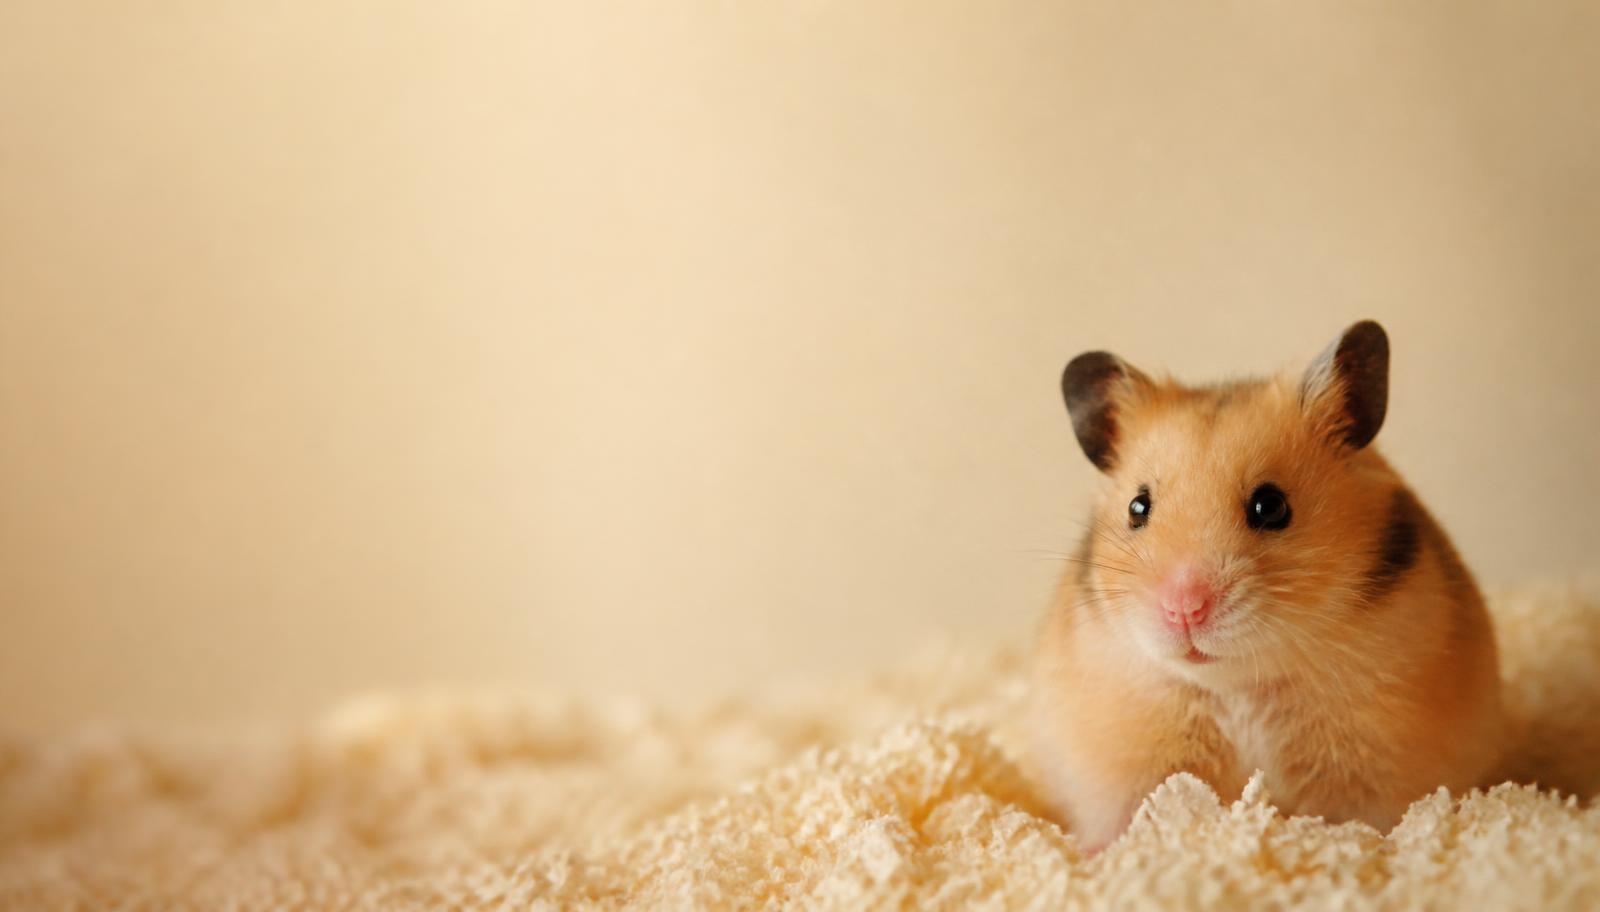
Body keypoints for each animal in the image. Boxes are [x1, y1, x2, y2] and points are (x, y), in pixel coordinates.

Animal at [1030, 320, 1503, 852]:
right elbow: (1125, 817)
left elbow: (1367, 820)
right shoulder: (1124, 764)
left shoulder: (1376, 760)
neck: (1238, 686)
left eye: (1271, 506)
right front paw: (1101, 856)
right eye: (1138, 508)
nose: (1184, 609)